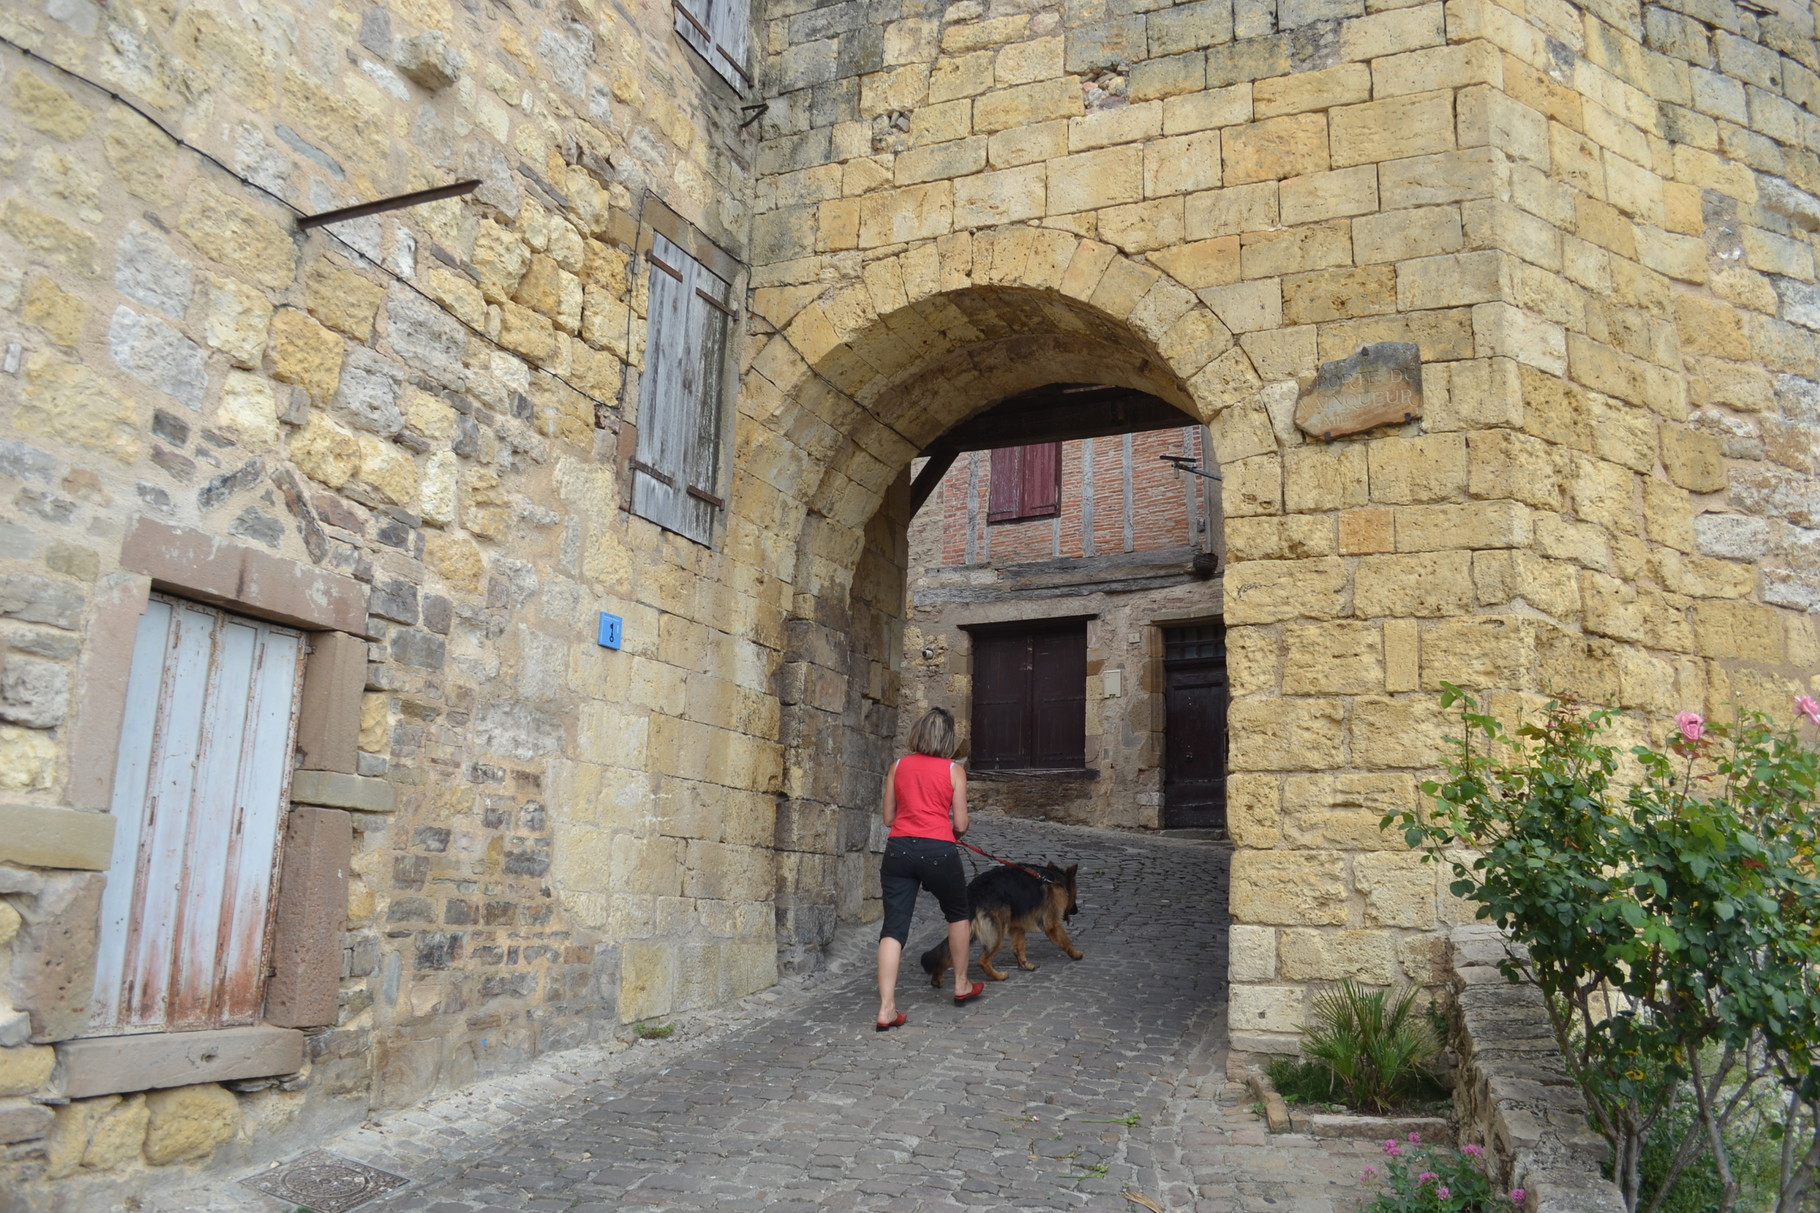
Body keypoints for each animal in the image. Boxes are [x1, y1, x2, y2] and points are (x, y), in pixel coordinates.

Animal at [924, 859, 1077, 983]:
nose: (1076, 911)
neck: (1056, 879)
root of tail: (973, 891)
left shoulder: (1017, 927)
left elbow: (1019, 947)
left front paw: (1025, 965)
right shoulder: (1053, 924)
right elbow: (1066, 940)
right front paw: (1076, 954)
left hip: (968, 931)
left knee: (946, 953)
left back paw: (937, 979)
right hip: (996, 933)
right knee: (983, 961)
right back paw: (998, 976)